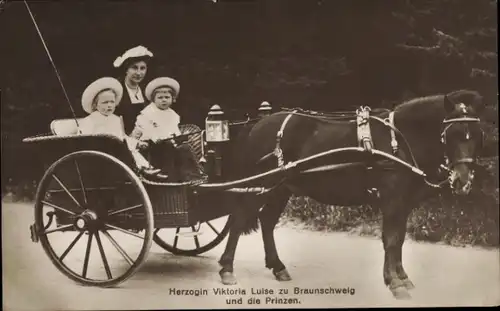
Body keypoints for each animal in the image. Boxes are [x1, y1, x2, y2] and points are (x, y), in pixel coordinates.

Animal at [217, 89, 482, 300]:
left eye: (477, 134)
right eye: (452, 133)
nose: (463, 181)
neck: (398, 141)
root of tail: (258, 124)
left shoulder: (403, 203)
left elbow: (399, 239)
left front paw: (402, 277)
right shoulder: (392, 200)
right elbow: (391, 239)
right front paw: (394, 283)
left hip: (281, 189)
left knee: (267, 221)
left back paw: (277, 266)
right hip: (262, 184)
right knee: (239, 219)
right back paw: (227, 268)